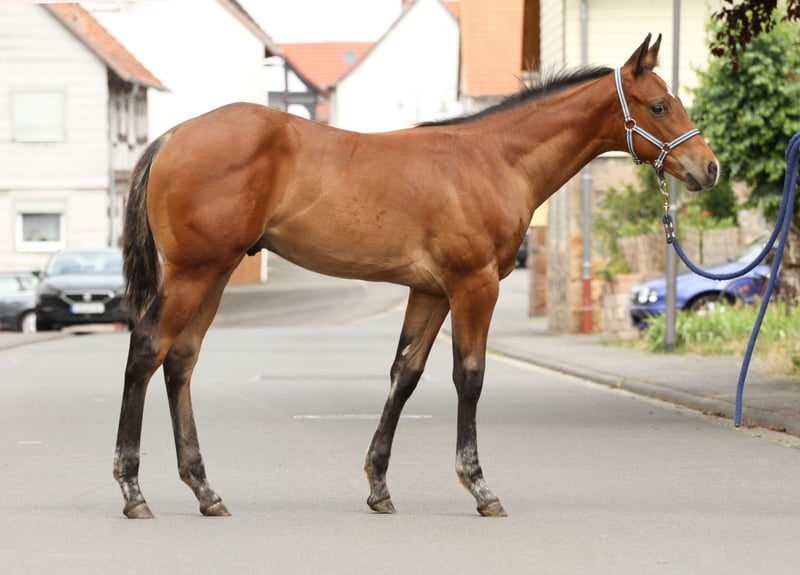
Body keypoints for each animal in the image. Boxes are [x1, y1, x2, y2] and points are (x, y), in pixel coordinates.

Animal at [114, 33, 719, 519]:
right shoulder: (474, 284)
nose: (708, 168)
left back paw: (205, 490)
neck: (493, 159)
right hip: (194, 273)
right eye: (659, 104)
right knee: (146, 348)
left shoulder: (429, 291)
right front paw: (479, 488)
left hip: (215, 274)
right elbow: (469, 376)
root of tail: (172, 136)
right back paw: (132, 490)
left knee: (181, 359)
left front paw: (379, 487)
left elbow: (404, 375)